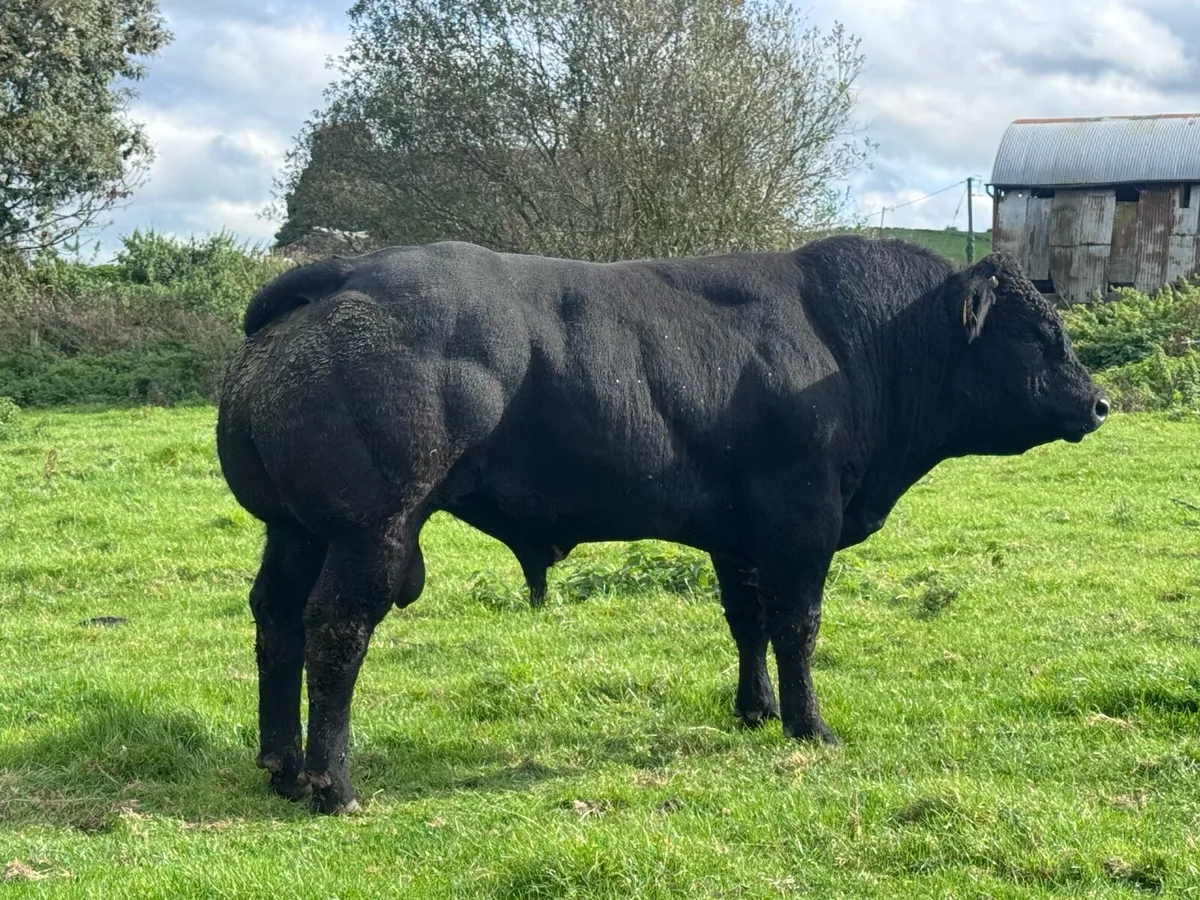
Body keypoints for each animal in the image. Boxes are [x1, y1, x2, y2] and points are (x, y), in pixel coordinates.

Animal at [216, 235, 1108, 814]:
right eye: (1037, 332)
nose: (1099, 402)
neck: (855, 346)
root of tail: (347, 271)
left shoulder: (737, 534)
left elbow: (748, 623)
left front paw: (754, 711)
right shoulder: (801, 520)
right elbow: (798, 626)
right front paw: (809, 724)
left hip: (294, 530)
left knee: (276, 622)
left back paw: (281, 763)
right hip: (371, 530)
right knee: (335, 633)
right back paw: (333, 785)